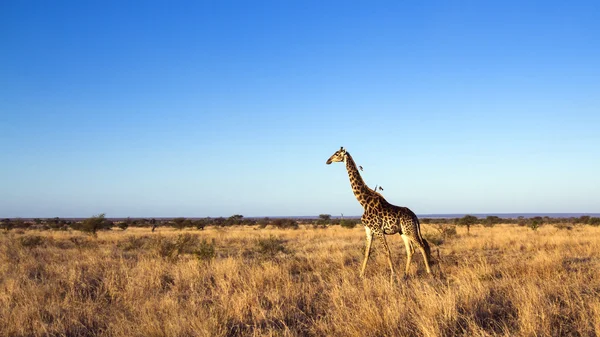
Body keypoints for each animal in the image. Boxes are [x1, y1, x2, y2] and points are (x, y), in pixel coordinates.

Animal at [328, 146, 432, 280]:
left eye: (336, 154)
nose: (328, 161)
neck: (363, 202)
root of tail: (415, 217)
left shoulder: (378, 230)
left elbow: (387, 251)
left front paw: (393, 275)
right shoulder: (368, 229)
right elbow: (367, 253)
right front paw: (361, 275)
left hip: (410, 230)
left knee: (422, 246)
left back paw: (429, 273)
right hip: (403, 232)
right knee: (411, 250)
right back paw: (405, 275)